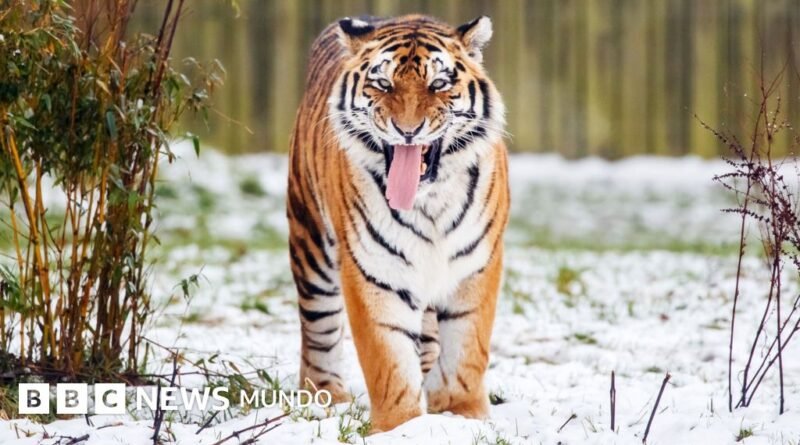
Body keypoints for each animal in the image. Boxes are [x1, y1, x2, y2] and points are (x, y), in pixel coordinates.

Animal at [287, 14, 509, 432]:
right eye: (383, 84)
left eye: (438, 84)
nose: (408, 130)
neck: (429, 201)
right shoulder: (374, 270)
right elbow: (388, 359)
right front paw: (401, 427)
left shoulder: (476, 265)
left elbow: (467, 348)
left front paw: (463, 414)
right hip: (311, 243)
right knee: (319, 329)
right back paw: (325, 397)